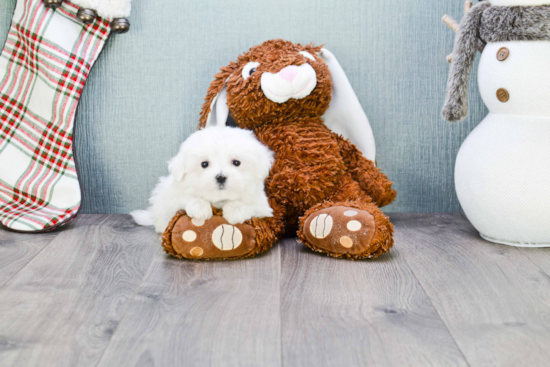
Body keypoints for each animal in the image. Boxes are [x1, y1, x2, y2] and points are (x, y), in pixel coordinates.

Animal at [132, 126, 274, 233]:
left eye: (236, 162)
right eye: (204, 164)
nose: (221, 177)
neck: (219, 200)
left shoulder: (262, 206)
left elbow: (248, 203)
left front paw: (235, 210)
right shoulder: (171, 200)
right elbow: (185, 197)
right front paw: (200, 207)